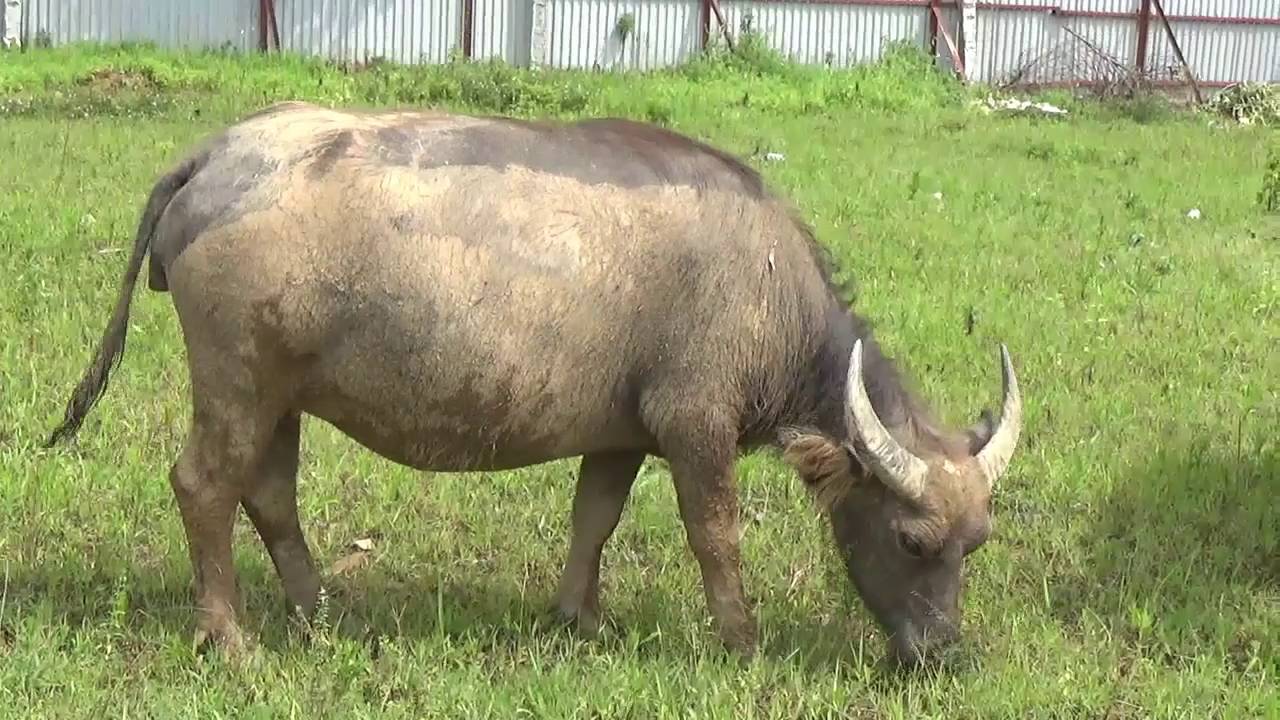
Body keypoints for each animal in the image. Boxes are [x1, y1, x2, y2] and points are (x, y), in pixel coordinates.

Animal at [49, 99, 1024, 661]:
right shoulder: (694, 425)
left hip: (278, 392)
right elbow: (715, 534)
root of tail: (214, 157)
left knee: (269, 493)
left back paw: (317, 611)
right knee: (203, 484)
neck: (766, 286)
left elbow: (594, 519)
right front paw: (740, 639)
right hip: (237, 379)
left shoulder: (623, 436)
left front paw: (578, 617)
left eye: (975, 545)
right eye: (910, 541)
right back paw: (229, 635)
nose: (944, 655)